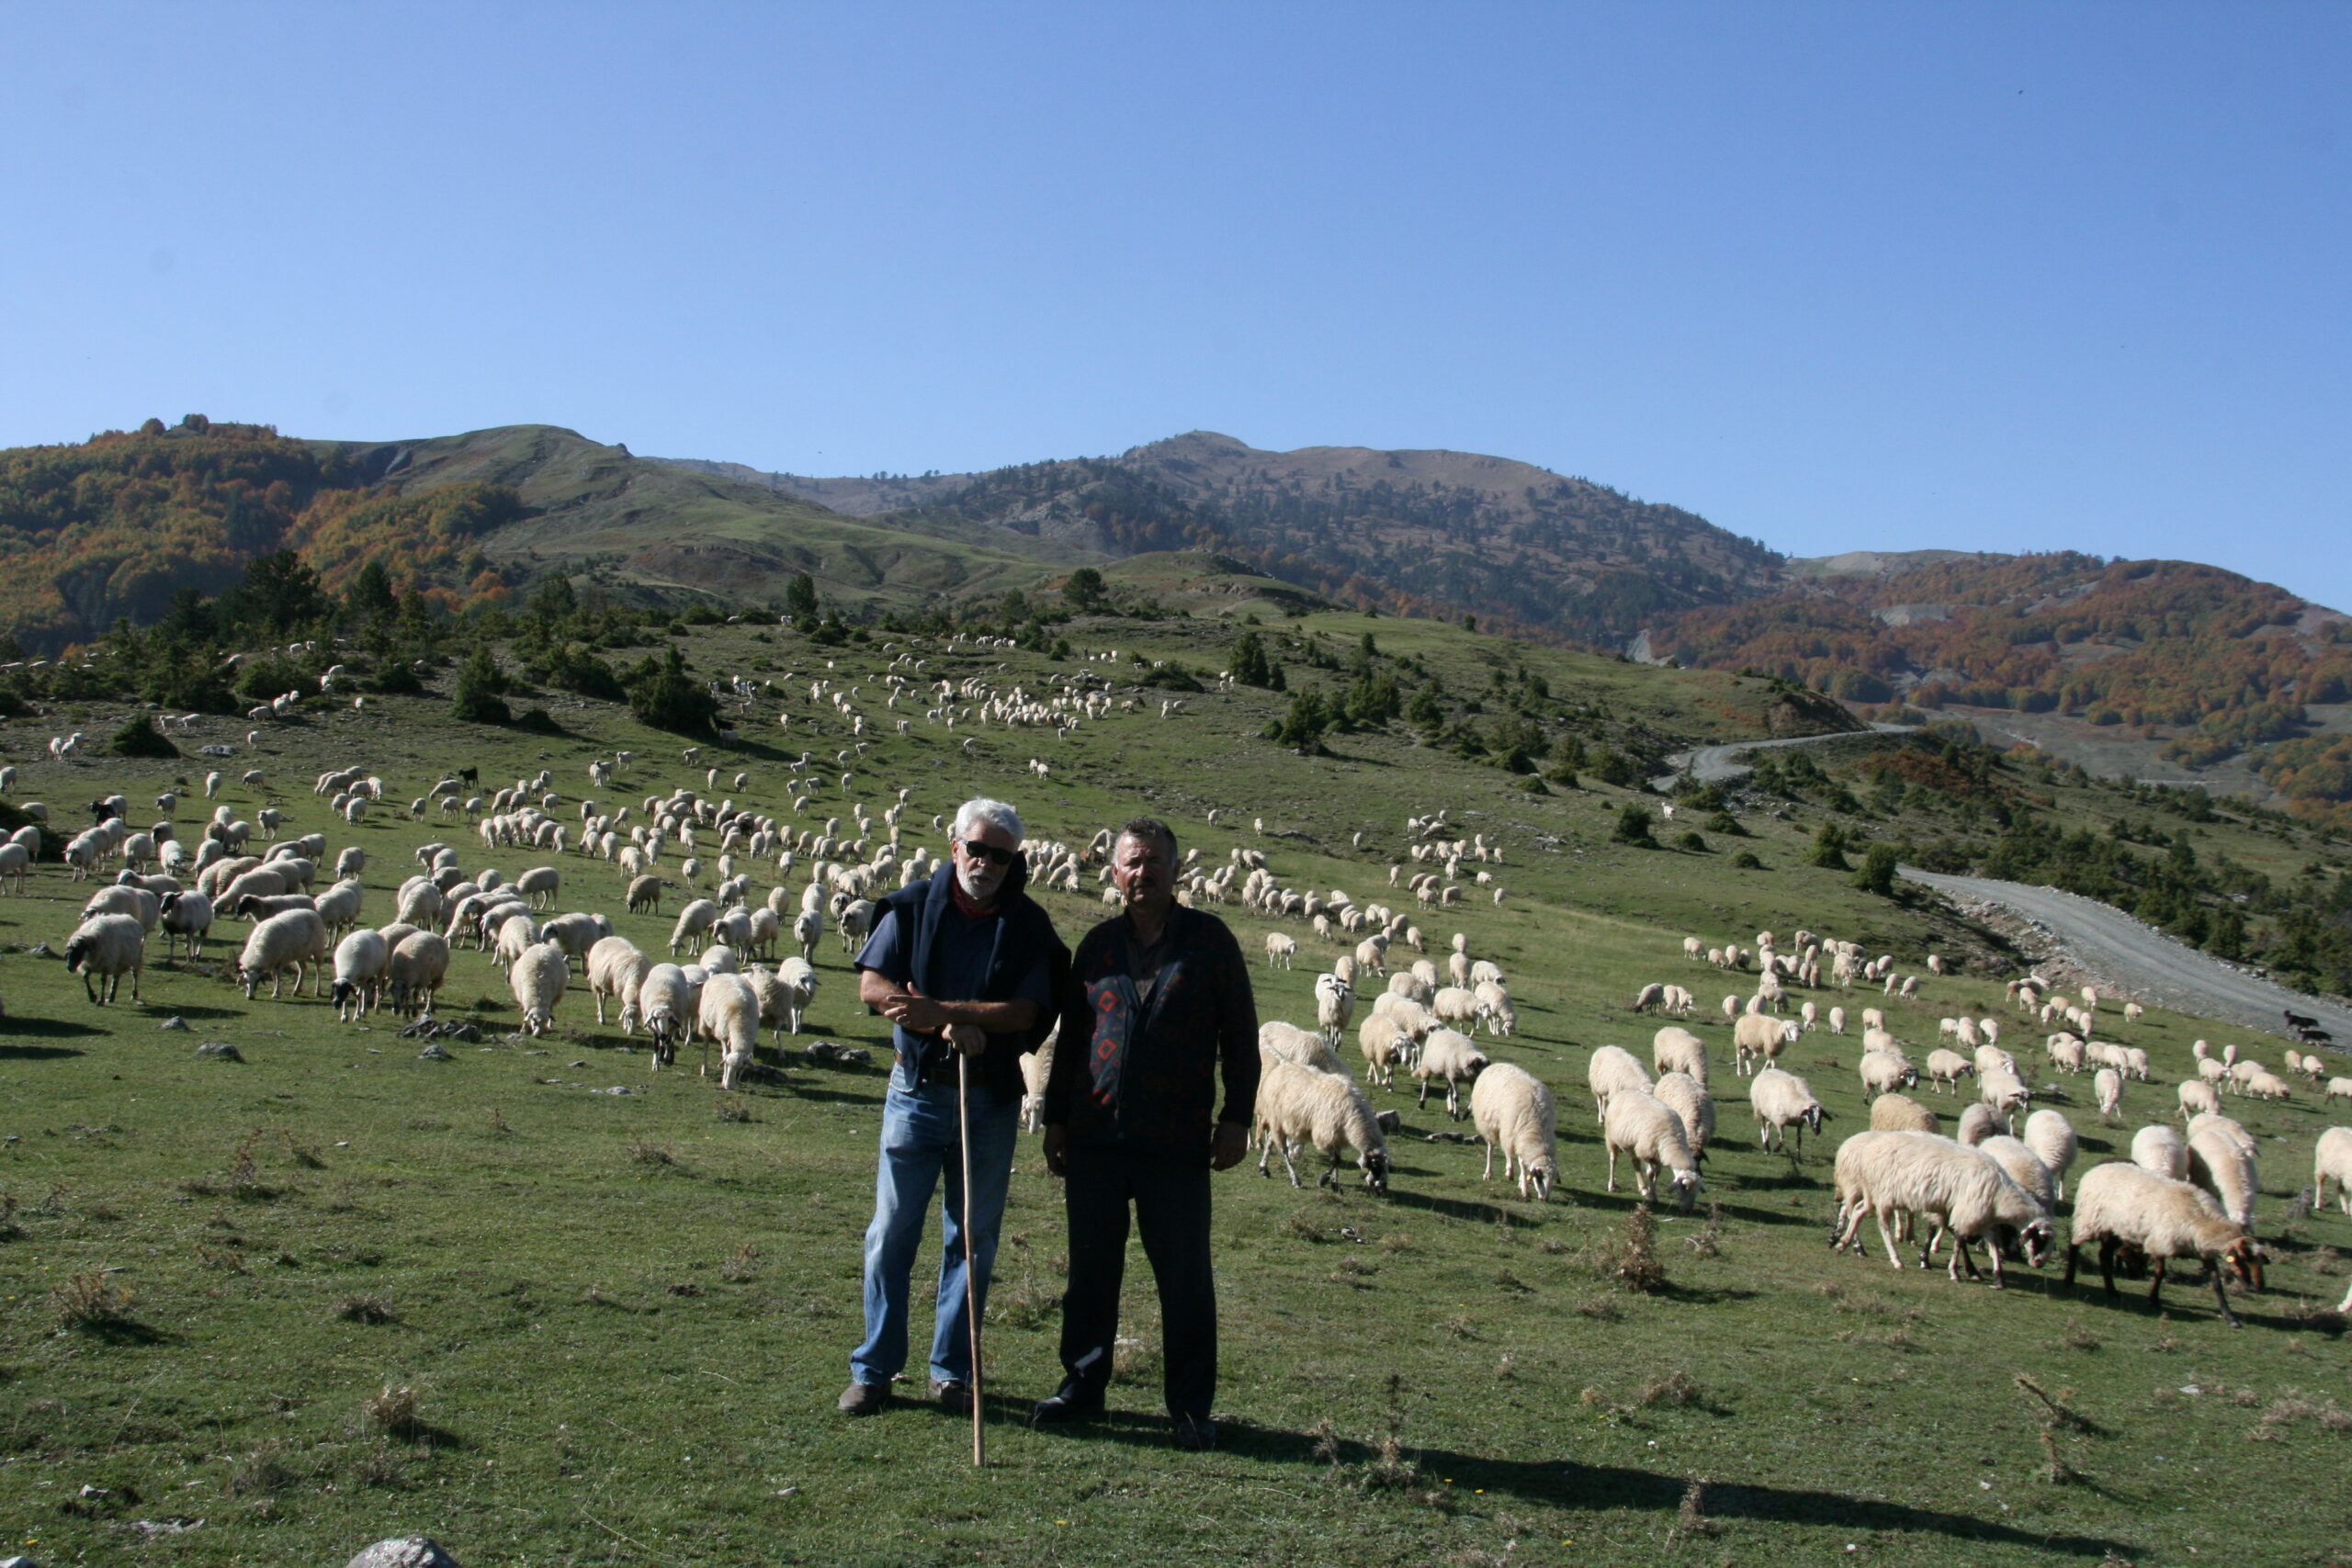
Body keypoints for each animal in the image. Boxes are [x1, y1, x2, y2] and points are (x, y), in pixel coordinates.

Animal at [1467, 1066, 1561, 1203]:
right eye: (1539, 1178)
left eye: (1553, 1180)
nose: (1545, 1199)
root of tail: (1494, 1065)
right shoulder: (1518, 1135)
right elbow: (1522, 1163)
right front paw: (1525, 1191)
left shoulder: (1521, 1138)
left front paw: (1521, 1181)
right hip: (1492, 1123)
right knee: (1492, 1147)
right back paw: (1489, 1173)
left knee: (1507, 1151)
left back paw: (1509, 1172)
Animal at [1609, 1090, 1702, 1213]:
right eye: (1684, 1187)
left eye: (1697, 1190)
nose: (1688, 1210)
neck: (1672, 1141)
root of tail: (1625, 1091)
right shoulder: (1646, 1152)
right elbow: (1651, 1172)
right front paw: (1651, 1196)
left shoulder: (1659, 1156)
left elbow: (1657, 1173)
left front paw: (1652, 1193)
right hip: (1611, 1138)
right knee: (1613, 1160)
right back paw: (1611, 1185)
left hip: (1633, 1144)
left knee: (1635, 1163)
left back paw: (1643, 1188)